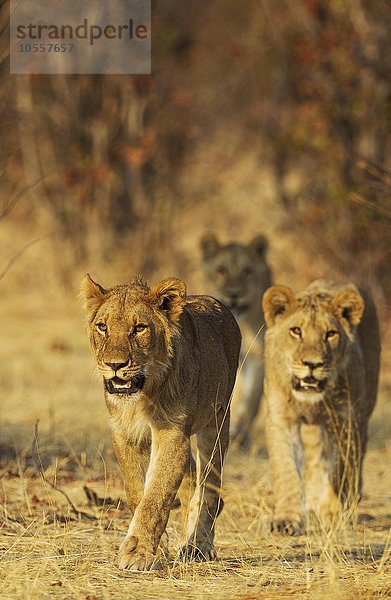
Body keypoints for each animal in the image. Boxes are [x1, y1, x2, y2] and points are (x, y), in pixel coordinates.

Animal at [201, 233, 272, 446]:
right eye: (221, 271)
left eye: (247, 271)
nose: (234, 294)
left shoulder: (258, 355)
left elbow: (251, 397)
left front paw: (240, 425)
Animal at [262, 278, 382, 536]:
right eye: (296, 331)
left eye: (331, 334)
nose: (312, 364)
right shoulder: (281, 418)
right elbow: (286, 469)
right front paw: (286, 520)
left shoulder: (346, 420)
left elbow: (340, 469)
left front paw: (333, 512)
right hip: (315, 429)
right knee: (316, 459)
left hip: (364, 411)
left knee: (353, 461)